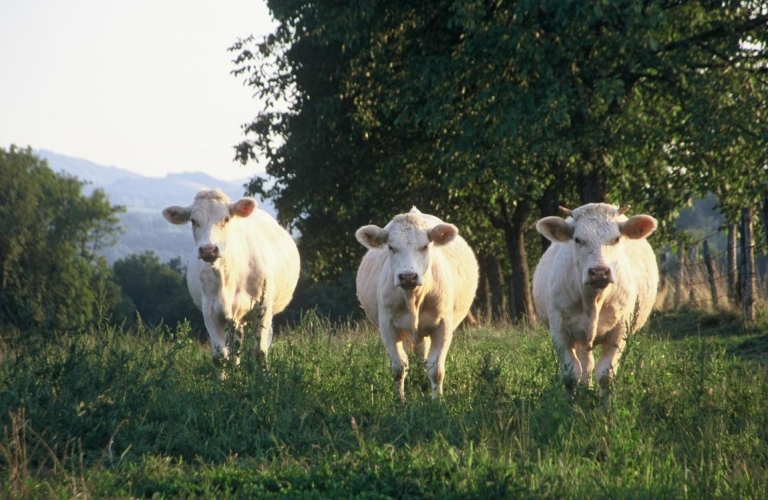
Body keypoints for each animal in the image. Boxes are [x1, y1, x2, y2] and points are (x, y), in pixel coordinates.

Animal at [162, 189, 300, 366]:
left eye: (226, 219)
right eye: (193, 221)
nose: (208, 250)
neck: (227, 278)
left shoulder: (262, 308)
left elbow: (259, 352)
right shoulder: (210, 312)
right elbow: (220, 356)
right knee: (235, 348)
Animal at [356, 208, 476, 402]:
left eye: (425, 246)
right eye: (391, 247)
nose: (408, 277)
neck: (413, 300)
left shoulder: (443, 325)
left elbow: (435, 369)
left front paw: (437, 401)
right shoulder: (387, 326)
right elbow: (399, 366)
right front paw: (400, 400)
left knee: (423, 357)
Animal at [536, 202, 660, 394]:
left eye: (616, 238)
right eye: (578, 239)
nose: (599, 272)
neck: (593, 301)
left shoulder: (620, 331)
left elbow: (605, 375)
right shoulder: (559, 330)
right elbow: (571, 375)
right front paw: (570, 401)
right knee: (585, 364)